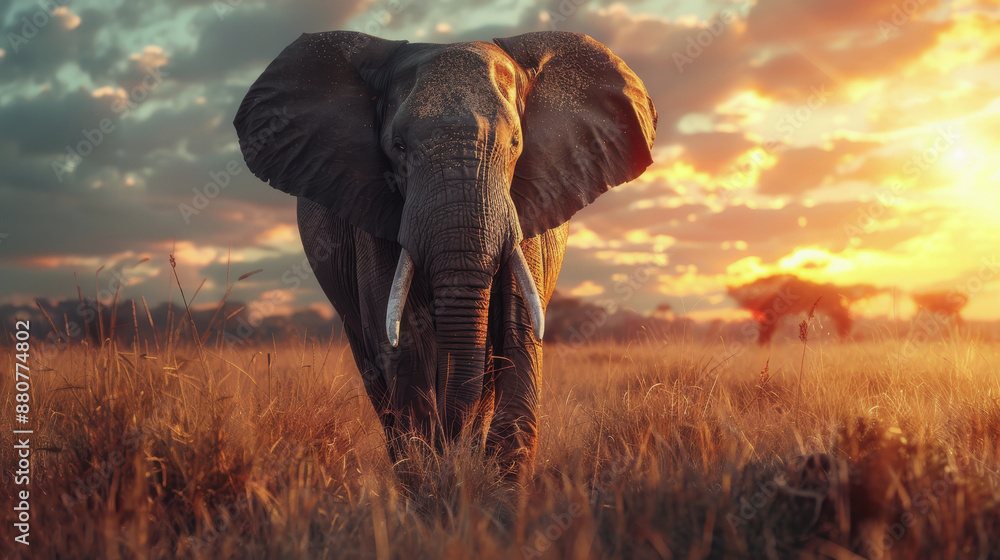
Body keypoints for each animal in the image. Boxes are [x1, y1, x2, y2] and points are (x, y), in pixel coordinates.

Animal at [234, 30, 656, 483]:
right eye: (398, 148)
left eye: (515, 145)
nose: (456, 441)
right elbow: (404, 344)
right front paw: (435, 486)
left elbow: (519, 336)